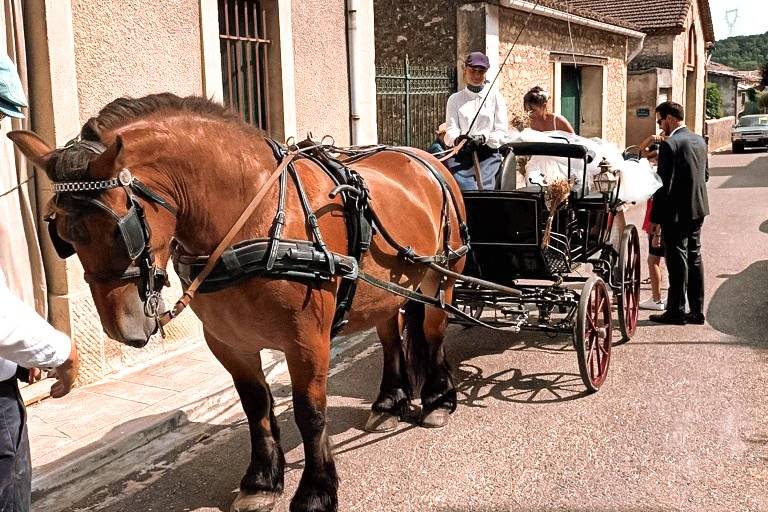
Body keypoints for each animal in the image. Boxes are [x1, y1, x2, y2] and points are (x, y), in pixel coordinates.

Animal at [10, 94, 468, 512]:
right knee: (392, 337)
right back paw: (390, 401)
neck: (254, 219)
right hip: (389, 291)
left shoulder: (307, 342)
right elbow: (255, 404)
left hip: (443, 278)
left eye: (119, 231)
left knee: (433, 333)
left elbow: (310, 412)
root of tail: (425, 158)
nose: (125, 330)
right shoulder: (229, 342)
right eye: (63, 236)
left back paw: (438, 400)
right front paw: (262, 481)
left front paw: (316, 492)